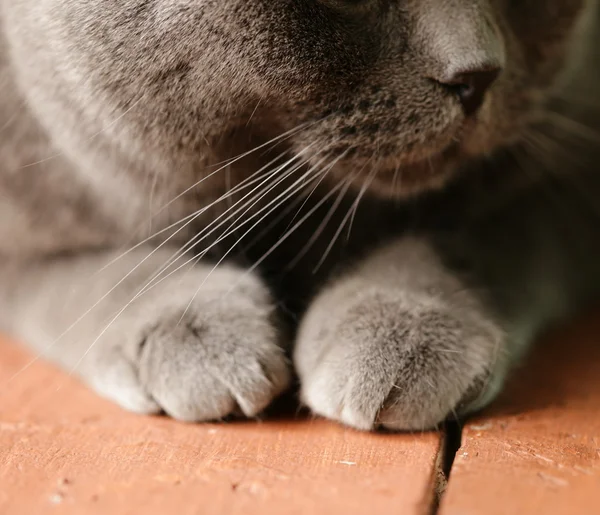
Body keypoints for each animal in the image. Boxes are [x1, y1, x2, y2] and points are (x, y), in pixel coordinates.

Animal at [1, 0, 600, 432]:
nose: (478, 73)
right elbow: (98, 274)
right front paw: (193, 331)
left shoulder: (570, 176)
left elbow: (476, 233)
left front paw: (403, 326)